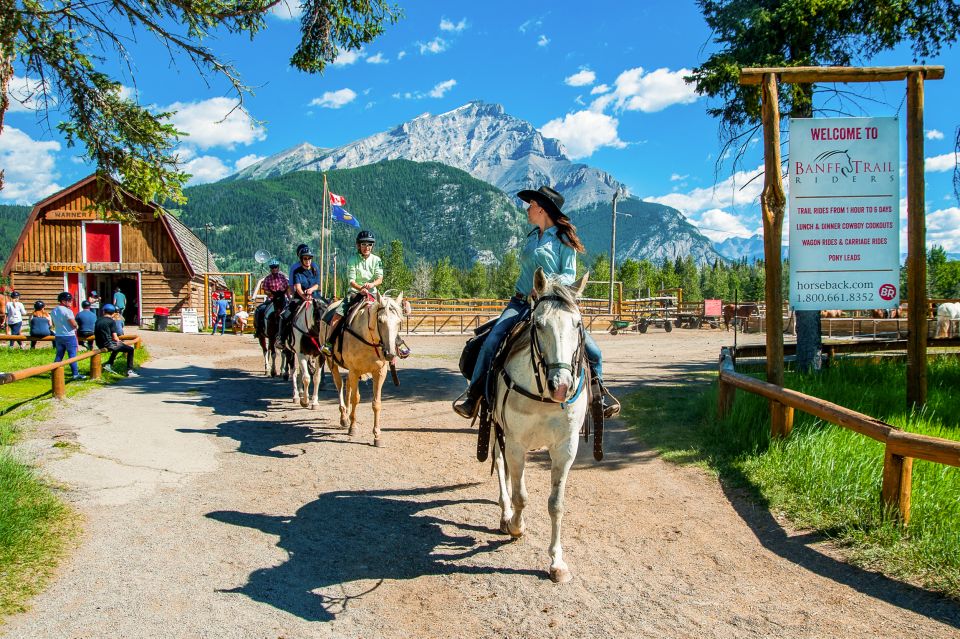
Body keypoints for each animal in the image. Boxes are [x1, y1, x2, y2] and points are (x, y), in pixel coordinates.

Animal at [322, 292, 408, 448]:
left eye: (399, 321)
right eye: (380, 320)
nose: (390, 354)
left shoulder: (379, 372)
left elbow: (376, 403)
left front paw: (377, 436)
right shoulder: (354, 370)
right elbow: (356, 399)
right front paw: (353, 428)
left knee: (347, 383)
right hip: (332, 363)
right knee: (339, 385)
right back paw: (344, 417)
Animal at [492, 270, 588, 584]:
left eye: (578, 324)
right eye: (539, 324)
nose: (561, 386)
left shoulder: (565, 447)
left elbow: (556, 504)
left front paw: (557, 562)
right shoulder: (516, 442)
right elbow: (521, 496)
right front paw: (516, 526)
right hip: (497, 430)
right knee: (500, 465)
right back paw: (505, 513)